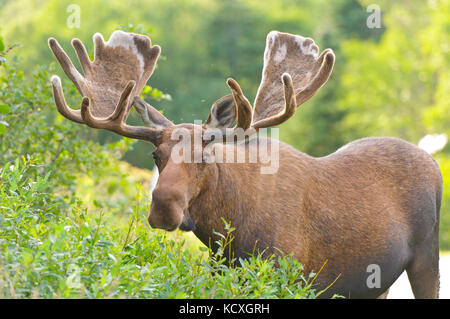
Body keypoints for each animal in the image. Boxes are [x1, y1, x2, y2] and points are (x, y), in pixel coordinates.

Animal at [47, 30, 442, 300]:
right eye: (155, 156)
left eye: (205, 154)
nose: (163, 207)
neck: (228, 229)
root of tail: (433, 161)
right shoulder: (221, 270)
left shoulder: (288, 272)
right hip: (375, 281)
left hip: (427, 256)